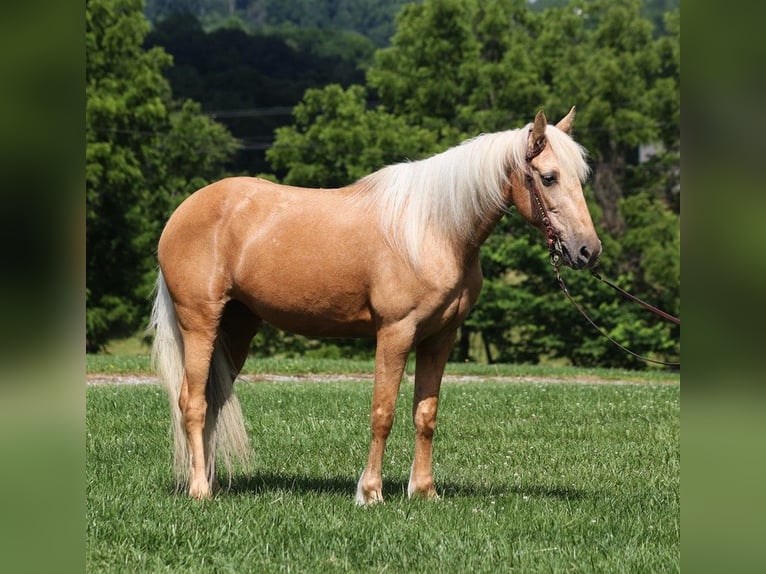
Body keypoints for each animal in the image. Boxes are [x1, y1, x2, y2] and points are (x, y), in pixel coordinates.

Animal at [149, 107, 601, 505]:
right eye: (548, 177)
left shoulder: (440, 337)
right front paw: (370, 493)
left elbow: (425, 415)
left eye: (581, 178)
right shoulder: (395, 333)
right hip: (201, 323)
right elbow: (383, 412)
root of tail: (183, 212)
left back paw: (208, 480)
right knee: (193, 402)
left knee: (212, 401)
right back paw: (199, 491)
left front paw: (425, 492)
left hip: (238, 327)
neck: (432, 229)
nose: (588, 250)